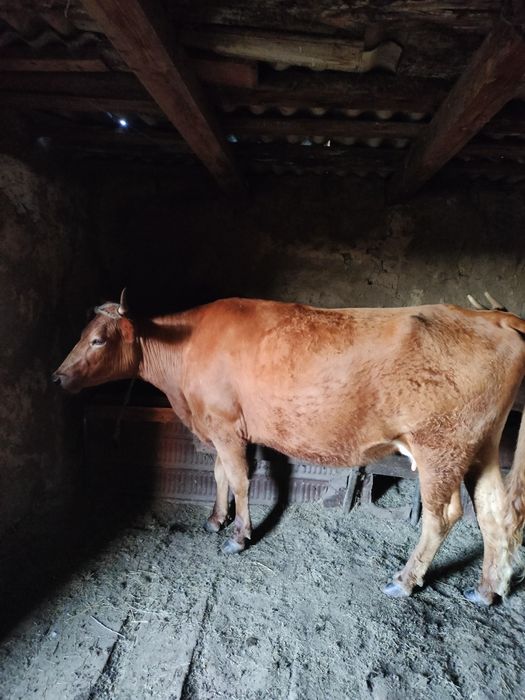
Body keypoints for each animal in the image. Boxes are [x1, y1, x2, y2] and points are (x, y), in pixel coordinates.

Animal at [52, 290, 525, 605]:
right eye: (82, 334)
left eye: (98, 340)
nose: (57, 377)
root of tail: (493, 318)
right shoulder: (215, 426)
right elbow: (218, 474)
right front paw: (215, 519)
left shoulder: (227, 425)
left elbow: (240, 479)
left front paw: (240, 534)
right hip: (479, 445)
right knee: (495, 514)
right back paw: (488, 589)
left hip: (439, 446)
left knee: (443, 515)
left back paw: (405, 580)